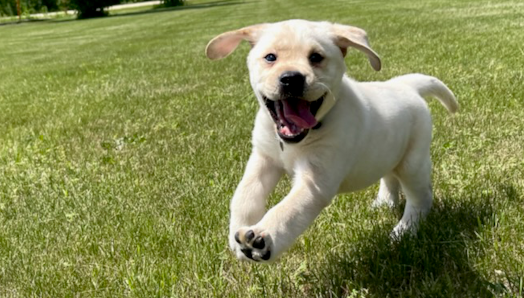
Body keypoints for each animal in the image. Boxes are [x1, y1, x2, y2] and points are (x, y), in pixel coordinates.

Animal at [206, 19, 458, 264]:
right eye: (270, 57)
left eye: (316, 57)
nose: (291, 79)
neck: (296, 141)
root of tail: (406, 85)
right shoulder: (263, 158)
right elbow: (244, 194)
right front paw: (238, 232)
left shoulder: (316, 181)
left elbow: (288, 210)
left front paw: (261, 239)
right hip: (388, 152)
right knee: (389, 176)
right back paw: (385, 203)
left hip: (412, 163)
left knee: (420, 198)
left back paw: (404, 231)